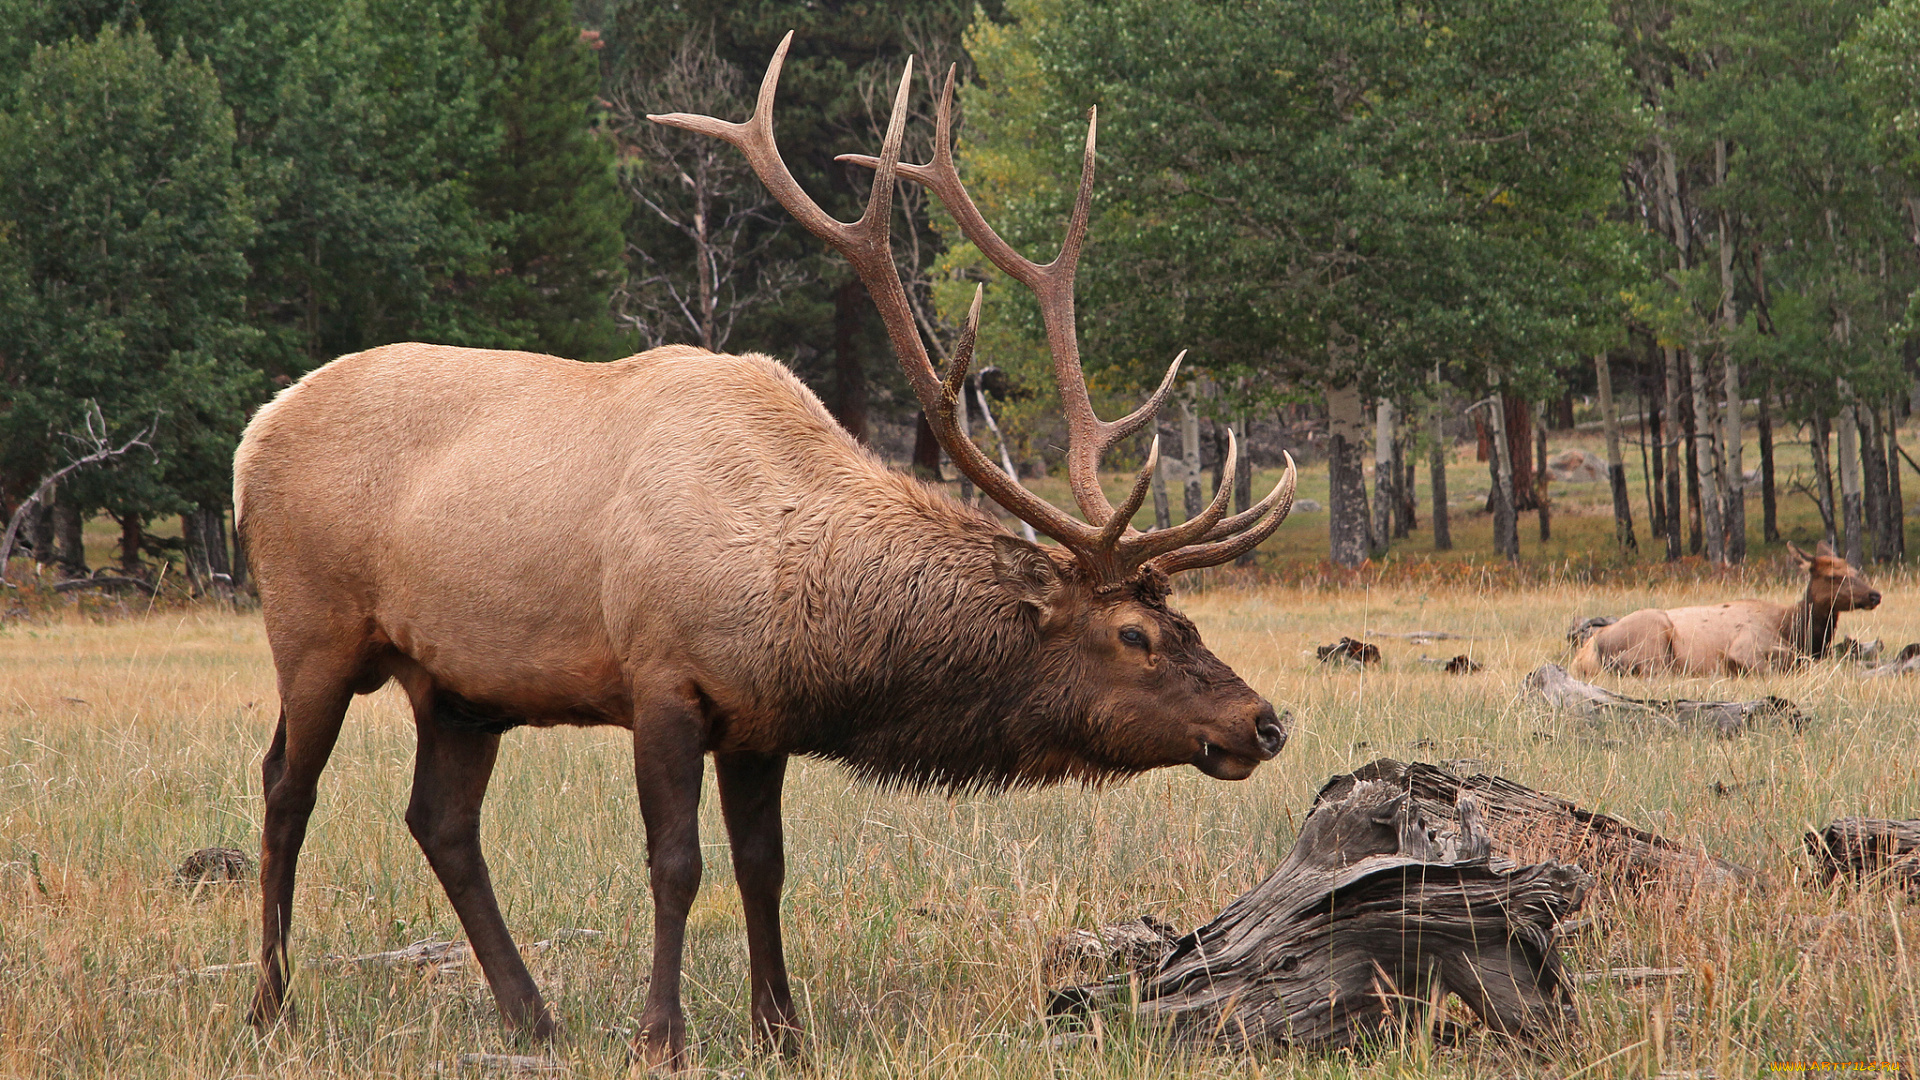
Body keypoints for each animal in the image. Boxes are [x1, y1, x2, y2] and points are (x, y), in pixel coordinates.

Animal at [232, 35, 1297, 1068]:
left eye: (1183, 622)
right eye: (1132, 635)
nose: (1263, 721)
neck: (798, 598)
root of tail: (253, 436)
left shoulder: (760, 719)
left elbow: (763, 867)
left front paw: (781, 1029)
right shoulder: (661, 679)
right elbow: (677, 864)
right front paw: (661, 1036)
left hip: (459, 684)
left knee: (441, 822)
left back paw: (532, 1018)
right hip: (313, 627)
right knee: (286, 787)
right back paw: (271, 1010)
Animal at [1574, 538, 1873, 672]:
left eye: (1856, 570)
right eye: (1833, 576)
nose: (1875, 595)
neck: (1794, 631)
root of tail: (1587, 650)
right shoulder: (1745, 647)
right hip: (1652, 638)